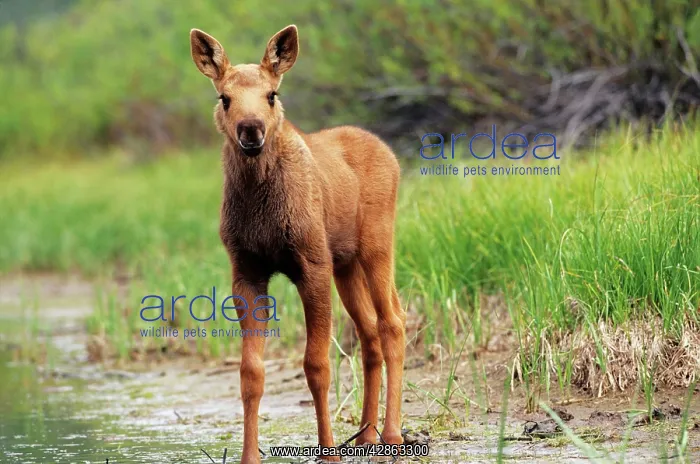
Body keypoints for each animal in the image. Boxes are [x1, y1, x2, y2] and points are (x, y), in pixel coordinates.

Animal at [189, 25, 406, 463]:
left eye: (272, 94)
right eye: (224, 97)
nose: (251, 129)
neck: (259, 205)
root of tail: (391, 155)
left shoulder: (311, 264)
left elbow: (316, 364)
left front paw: (328, 451)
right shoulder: (247, 271)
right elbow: (250, 372)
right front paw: (249, 456)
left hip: (376, 245)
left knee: (393, 322)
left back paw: (391, 434)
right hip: (346, 264)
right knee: (370, 333)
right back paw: (365, 434)